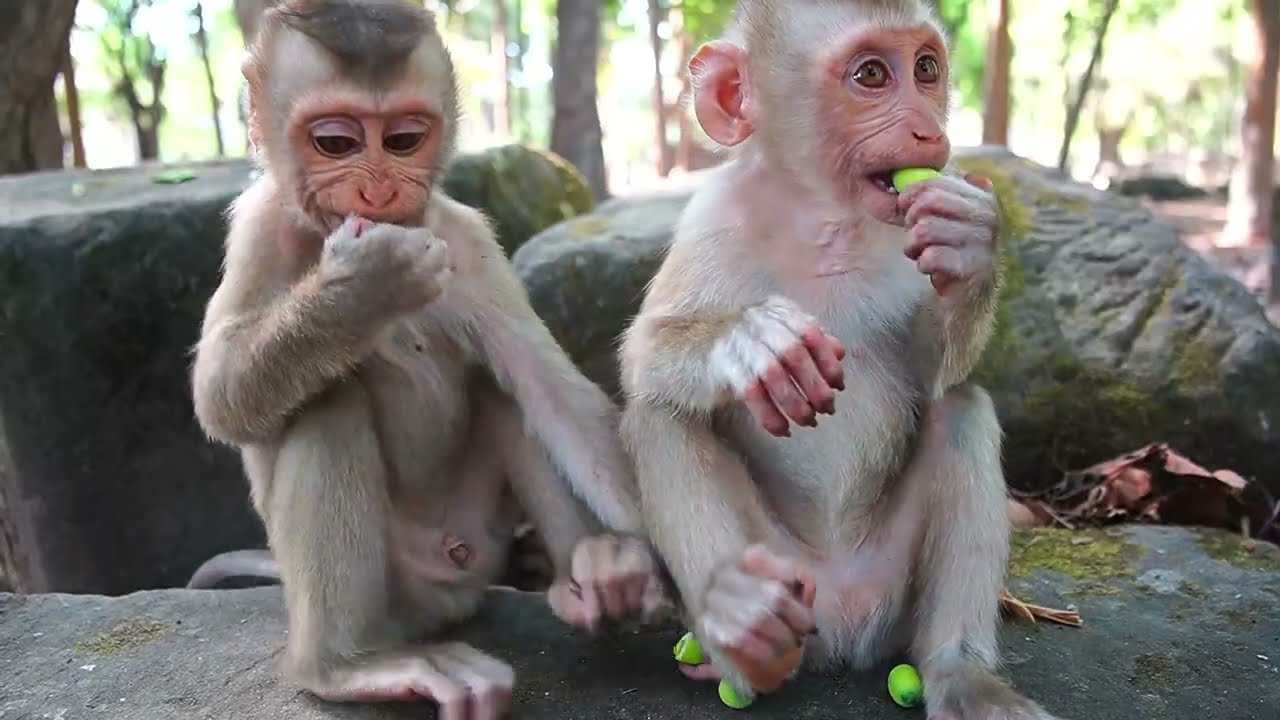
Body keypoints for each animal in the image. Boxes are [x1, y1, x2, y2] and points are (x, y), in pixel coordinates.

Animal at [189, 2, 664, 718]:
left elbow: (553, 389)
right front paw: (366, 286)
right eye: (336, 143)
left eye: (404, 139)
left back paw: (594, 574)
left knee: (509, 390)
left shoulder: (468, 238)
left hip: (476, 541)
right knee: (327, 401)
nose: (379, 193)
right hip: (397, 585)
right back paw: (345, 666)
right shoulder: (259, 224)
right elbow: (218, 396)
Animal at [617, 1, 1064, 718]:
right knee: (660, 416)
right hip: (788, 575)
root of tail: (844, 625)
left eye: (927, 68)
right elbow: (644, 355)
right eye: (872, 75)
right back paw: (746, 633)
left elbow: (935, 376)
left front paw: (970, 242)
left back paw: (959, 673)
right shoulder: (712, 217)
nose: (928, 130)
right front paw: (751, 344)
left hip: (890, 594)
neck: (822, 214)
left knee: (961, 410)